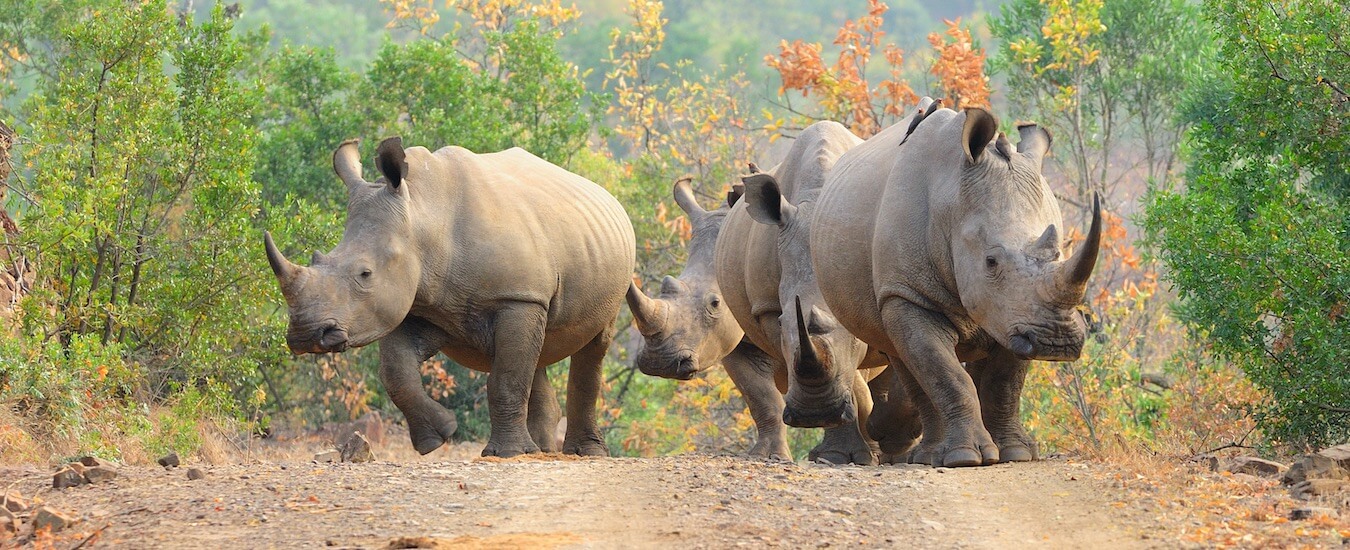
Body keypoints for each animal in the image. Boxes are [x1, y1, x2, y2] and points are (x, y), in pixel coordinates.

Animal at [271, 136, 639, 456]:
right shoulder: (416, 302)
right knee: (537, 353)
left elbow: (505, 380)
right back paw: (542, 451)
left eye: (365, 274)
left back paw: (583, 453)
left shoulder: (517, 297)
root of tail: (606, 194)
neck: (424, 217)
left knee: (592, 346)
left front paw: (505, 454)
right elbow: (396, 373)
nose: (306, 336)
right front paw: (438, 437)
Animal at [804, 105, 1101, 467]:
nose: (1057, 342)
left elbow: (1004, 383)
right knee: (905, 354)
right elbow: (946, 374)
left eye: (1058, 253)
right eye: (991, 261)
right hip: (890, 291)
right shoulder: (908, 293)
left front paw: (1015, 454)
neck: (953, 203)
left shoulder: (1015, 312)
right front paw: (967, 458)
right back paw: (928, 455)